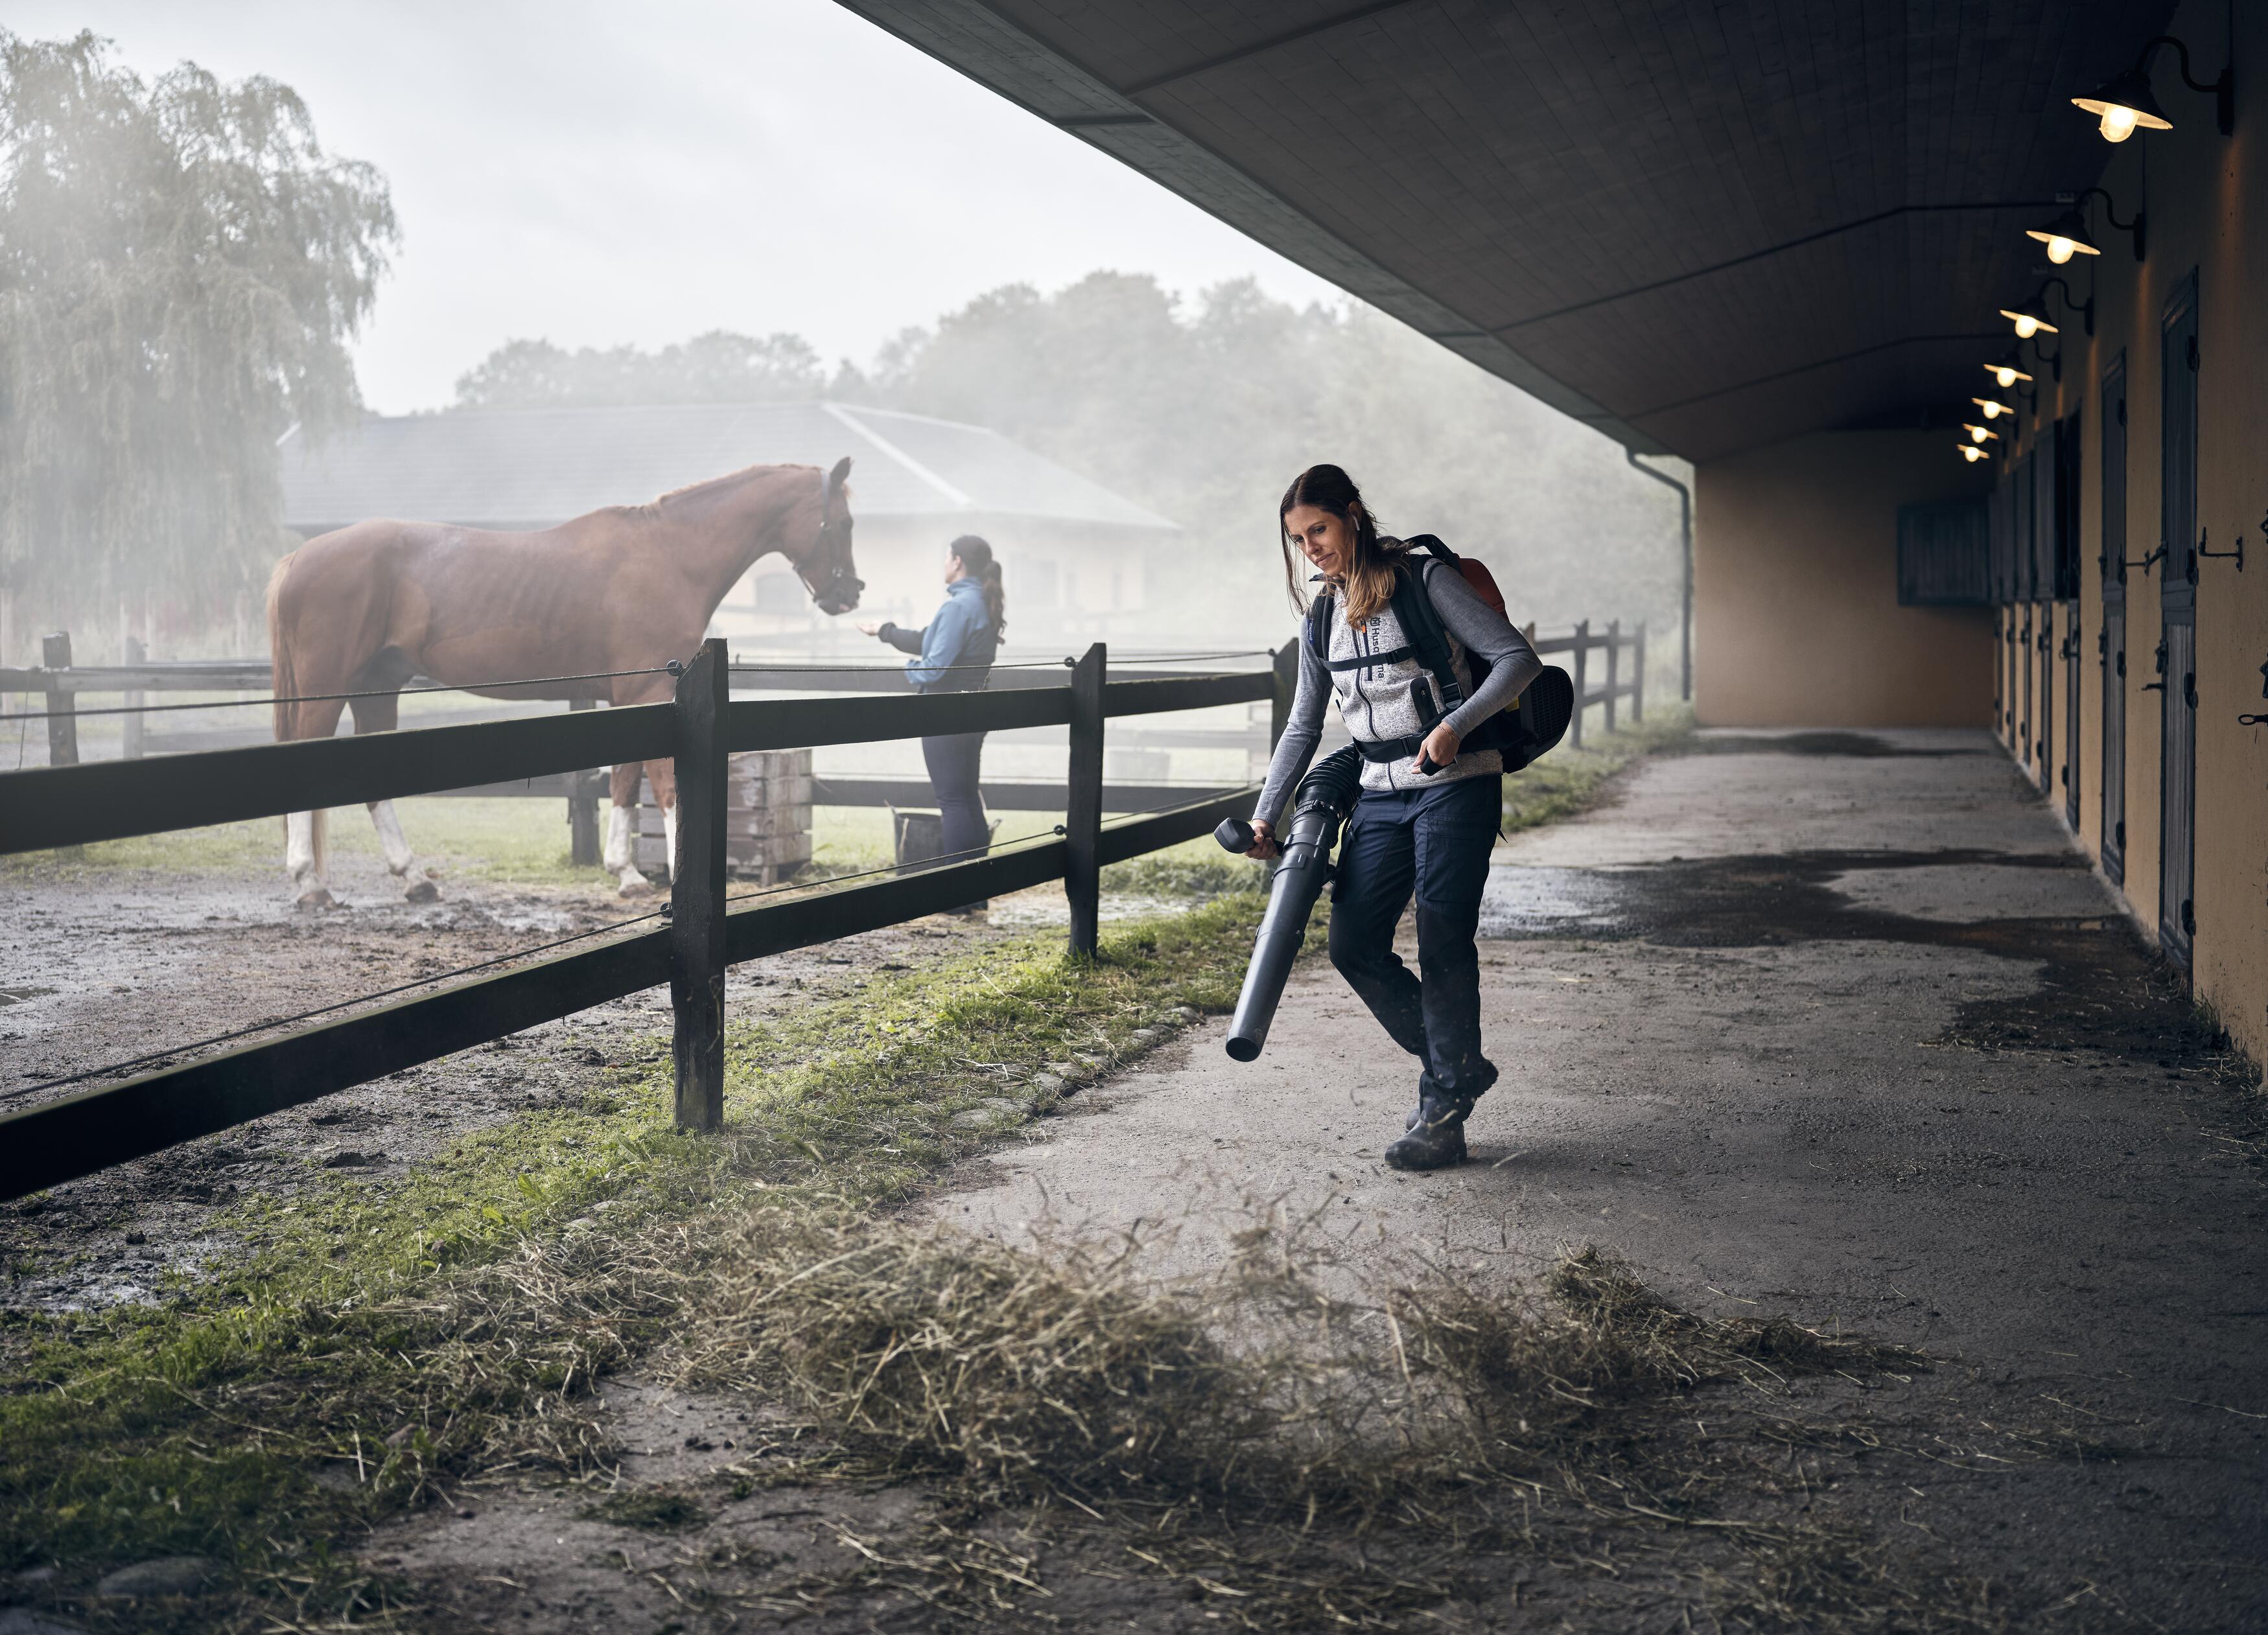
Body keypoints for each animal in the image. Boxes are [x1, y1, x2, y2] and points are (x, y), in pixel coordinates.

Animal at [265, 453, 861, 898]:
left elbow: (624, 780)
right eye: (845, 523)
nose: (850, 593)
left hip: (377, 686)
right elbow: (662, 783)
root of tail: (297, 558)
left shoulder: (631, 698)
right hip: (328, 688)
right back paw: (309, 881)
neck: (669, 556)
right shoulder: (647, 690)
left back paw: (414, 878)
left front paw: (625, 872)